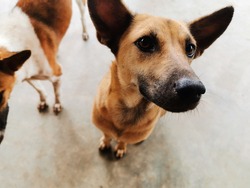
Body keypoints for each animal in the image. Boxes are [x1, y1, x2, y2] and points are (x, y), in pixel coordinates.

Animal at [88, 0, 234, 159]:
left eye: (190, 48)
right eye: (145, 42)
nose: (193, 89)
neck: (129, 109)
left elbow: (123, 141)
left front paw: (121, 147)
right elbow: (107, 134)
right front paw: (105, 141)